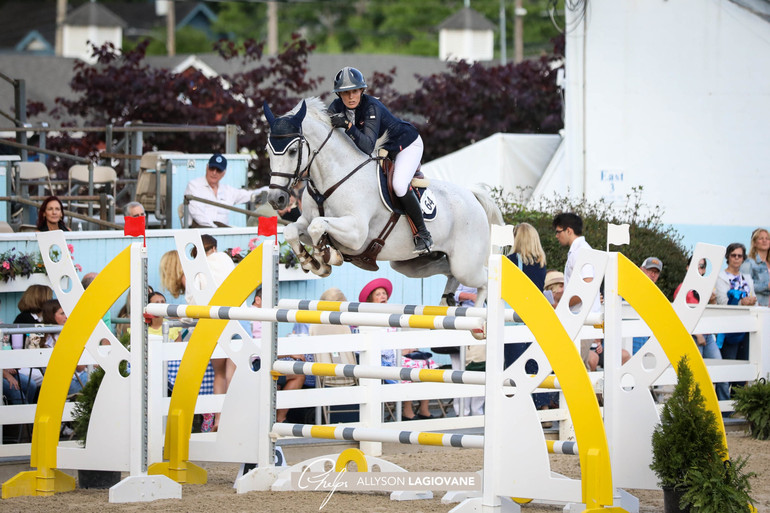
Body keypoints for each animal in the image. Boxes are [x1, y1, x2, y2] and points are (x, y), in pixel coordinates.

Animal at [262, 96, 504, 306]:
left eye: (293, 150)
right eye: (268, 150)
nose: (276, 199)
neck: (331, 179)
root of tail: (471, 196)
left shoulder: (356, 233)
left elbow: (318, 226)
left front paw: (327, 257)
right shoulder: (305, 221)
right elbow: (293, 230)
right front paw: (313, 263)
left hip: (467, 264)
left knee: (484, 279)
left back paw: (478, 323)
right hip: (415, 264)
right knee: (450, 272)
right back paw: (447, 301)